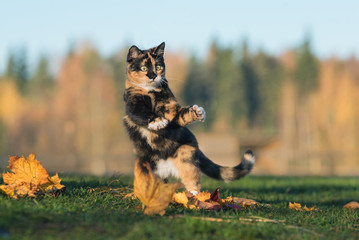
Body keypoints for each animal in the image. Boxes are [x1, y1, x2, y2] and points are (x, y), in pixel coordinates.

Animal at [124, 41, 256, 195]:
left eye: (158, 67)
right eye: (144, 68)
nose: (152, 76)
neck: (150, 92)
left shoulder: (170, 107)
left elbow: (180, 114)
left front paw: (197, 112)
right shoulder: (133, 106)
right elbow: (142, 114)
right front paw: (158, 122)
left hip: (186, 155)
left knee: (192, 179)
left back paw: (194, 196)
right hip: (144, 164)